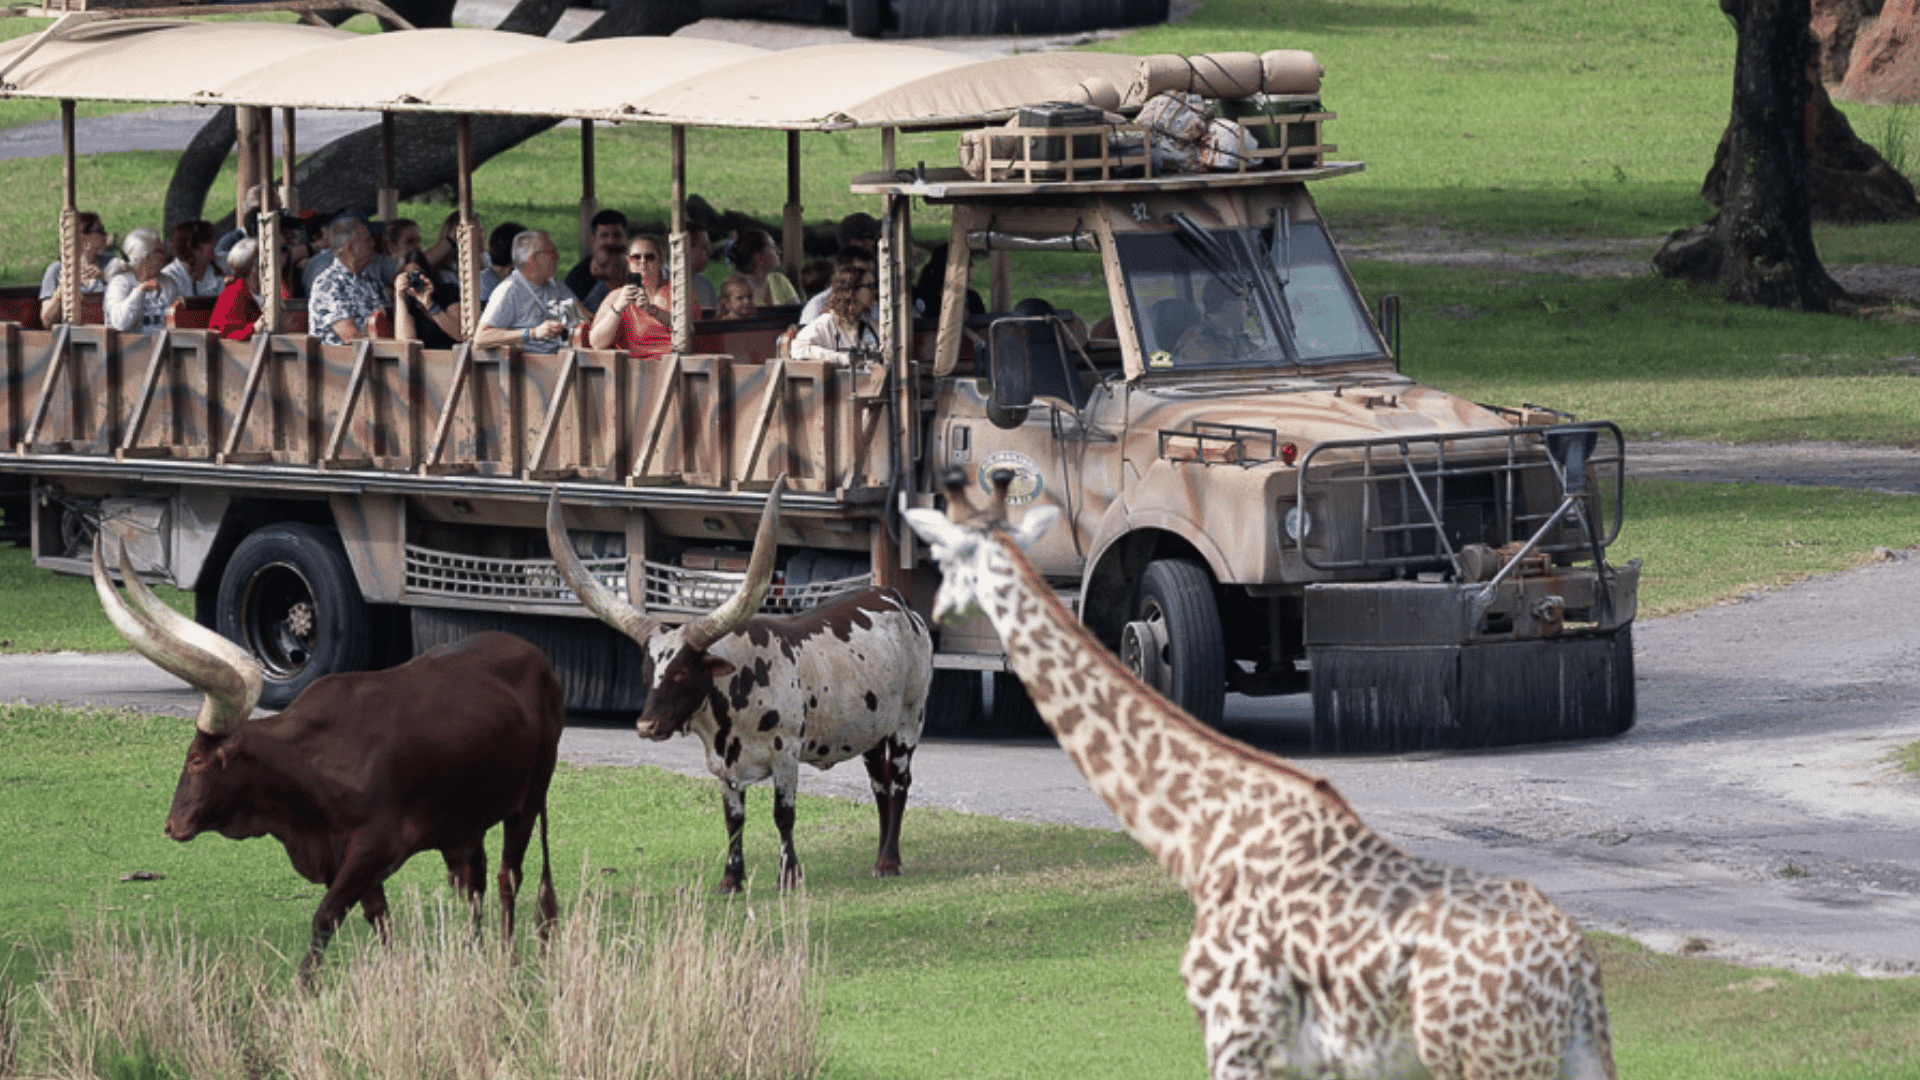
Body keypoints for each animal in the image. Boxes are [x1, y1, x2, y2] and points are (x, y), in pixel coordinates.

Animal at [90, 536, 564, 980]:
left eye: (196, 761)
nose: (172, 826)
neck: (310, 766)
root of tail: (537, 656)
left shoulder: (370, 849)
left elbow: (325, 917)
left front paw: (305, 988)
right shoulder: (347, 859)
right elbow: (380, 922)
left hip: (528, 799)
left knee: (507, 877)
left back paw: (509, 958)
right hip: (466, 819)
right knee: (474, 882)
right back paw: (476, 954)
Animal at [546, 477, 933, 893]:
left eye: (682, 673)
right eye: (647, 675)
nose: (646, 726)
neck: (733, 701)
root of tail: (895, 599)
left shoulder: (786, 755)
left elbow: (783, 815)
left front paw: (788, 876)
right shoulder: (723, 767)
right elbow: (733, 821)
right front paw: (731, 878)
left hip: (909, 720)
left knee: (900, 783)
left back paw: (889, 860)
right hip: (872, 731)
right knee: (880, 786)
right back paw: (881, 857)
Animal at [904, 470, 1616, 1080]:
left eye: (952, 557)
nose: (936, 614)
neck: (1198, 839)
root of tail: (1580, 971)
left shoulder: (1237, 1027)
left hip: (1491, 1057)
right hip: (1563, 1058)